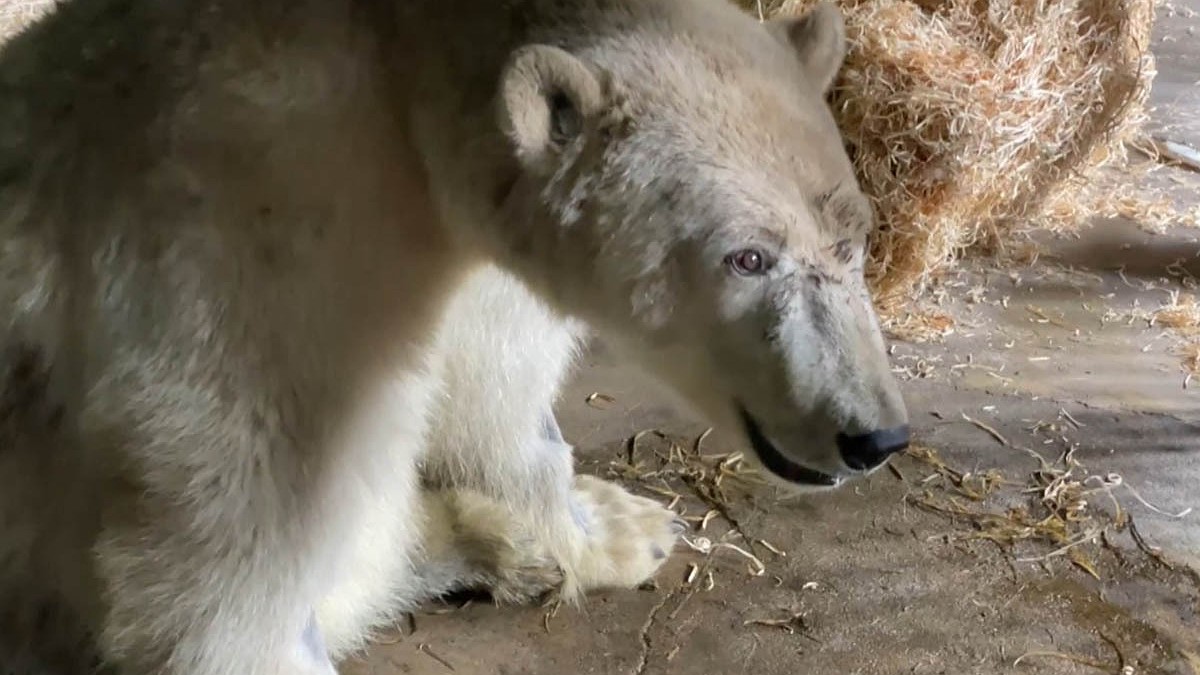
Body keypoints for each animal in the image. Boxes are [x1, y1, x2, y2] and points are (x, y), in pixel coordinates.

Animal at [0, 0, 902, 667]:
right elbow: (225, 577)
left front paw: (619, 526)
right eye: (748, 256)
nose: (874, 433)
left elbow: (491, 393)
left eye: (854, 240)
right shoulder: (251, 265)